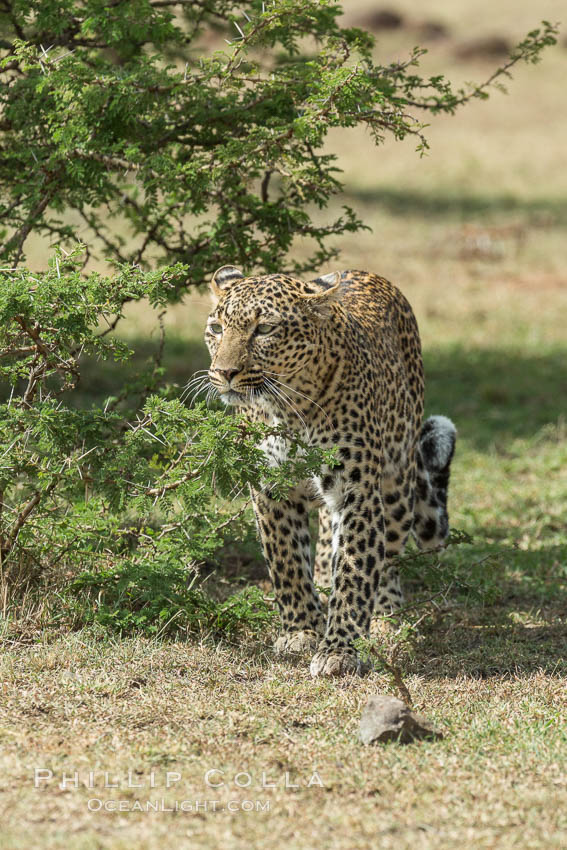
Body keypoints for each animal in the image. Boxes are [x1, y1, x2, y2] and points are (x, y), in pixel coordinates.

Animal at [204, 264, 458, 676]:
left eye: (265, 329)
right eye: (216, 328)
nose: (224, 372)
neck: (287, 409)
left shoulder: (356, 491)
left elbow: (356, 568)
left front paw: (339, 650)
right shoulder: (270, 488)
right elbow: (287, 561)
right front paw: (301, 632)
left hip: (397, 482)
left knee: (389, 553)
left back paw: (384, 616)